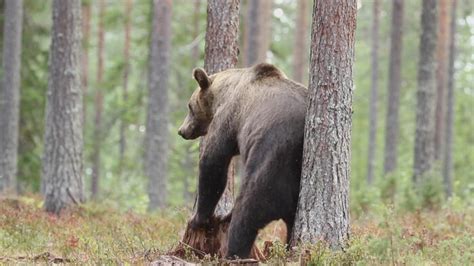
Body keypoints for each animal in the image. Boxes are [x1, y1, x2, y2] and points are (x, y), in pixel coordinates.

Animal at [178, 62, 308, 258]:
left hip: (273, 163)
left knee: (247, 211)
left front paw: (197, 218)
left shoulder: (229, 118)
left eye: (189, 106)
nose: (182, 131)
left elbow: (213, 162)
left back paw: (233, 249)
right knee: (289, 224)